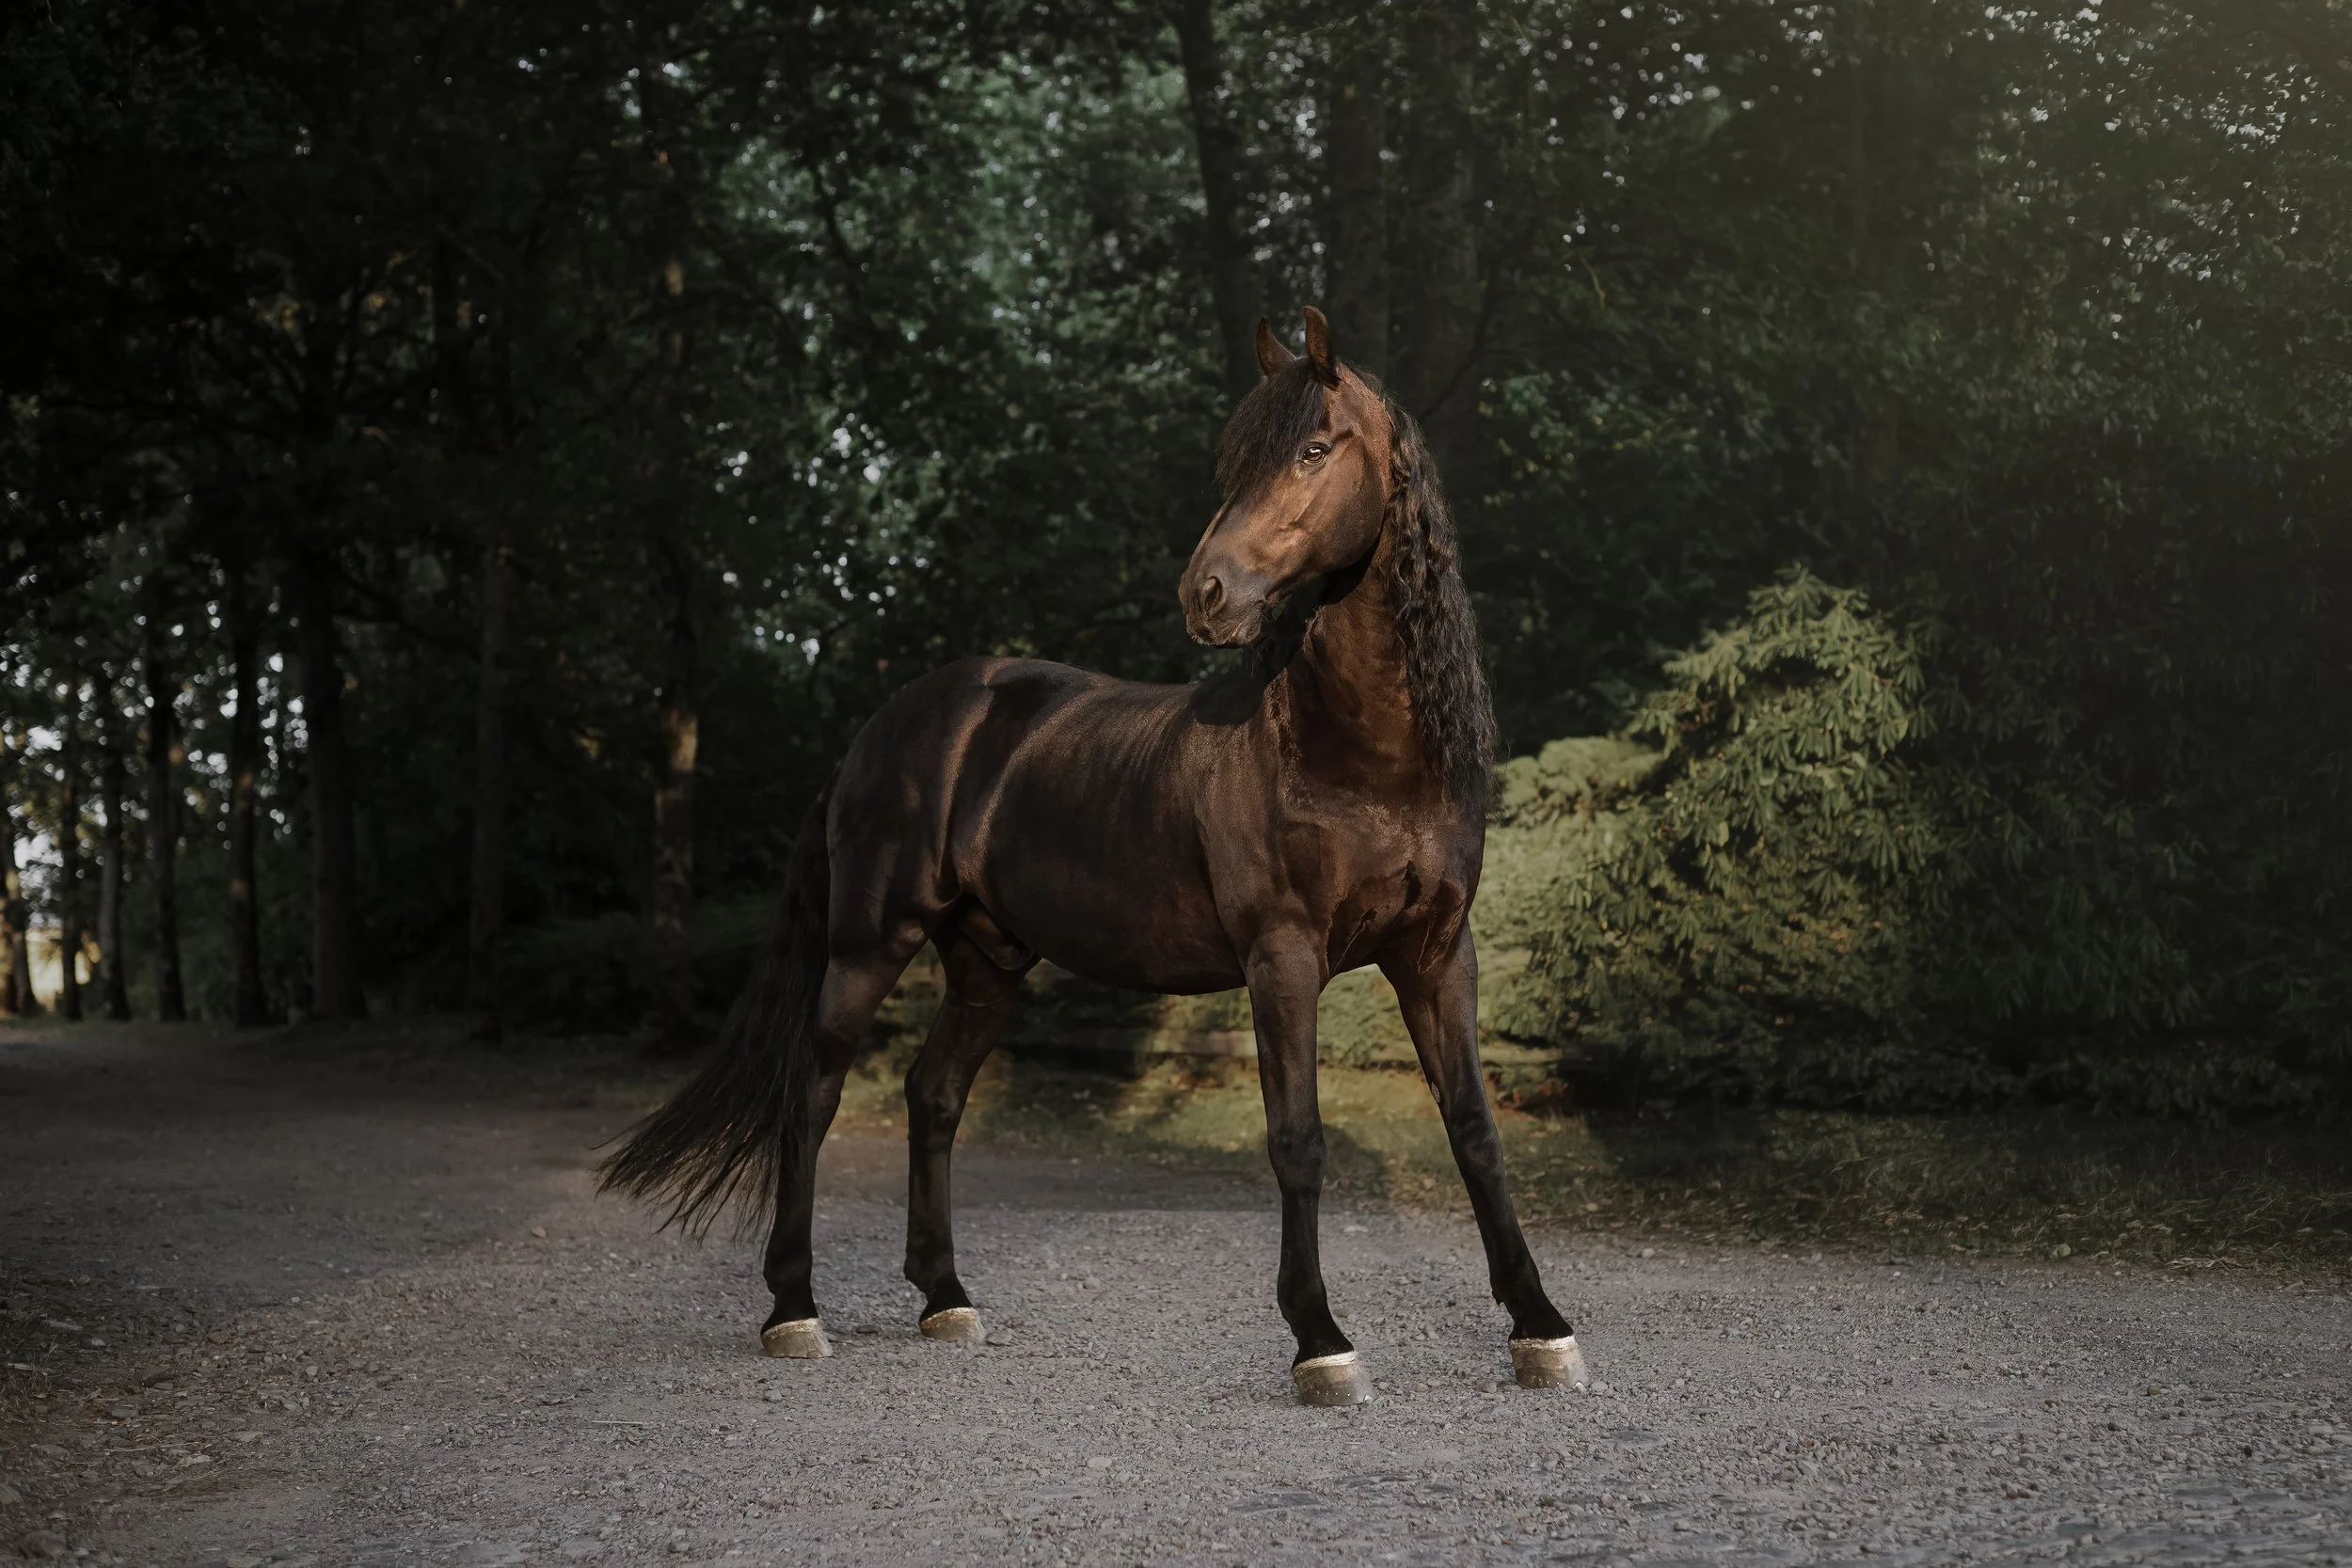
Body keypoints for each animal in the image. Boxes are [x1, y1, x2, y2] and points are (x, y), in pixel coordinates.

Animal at [600, 306, 1583, 1405]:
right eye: (1236, 458)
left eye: (1314, 450)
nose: (1206, 592)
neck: (1357, 756)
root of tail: (884, 726)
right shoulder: (1283, 959)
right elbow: (1297, 1139)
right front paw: (1321, 1340)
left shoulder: (1436, 952)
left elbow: (1474, 1130)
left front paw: (1540, 1327)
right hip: (867, 946)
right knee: (810, 1093)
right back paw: (792, 1308)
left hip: (987, 961)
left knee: (932, 1093)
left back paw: (945, 1296)